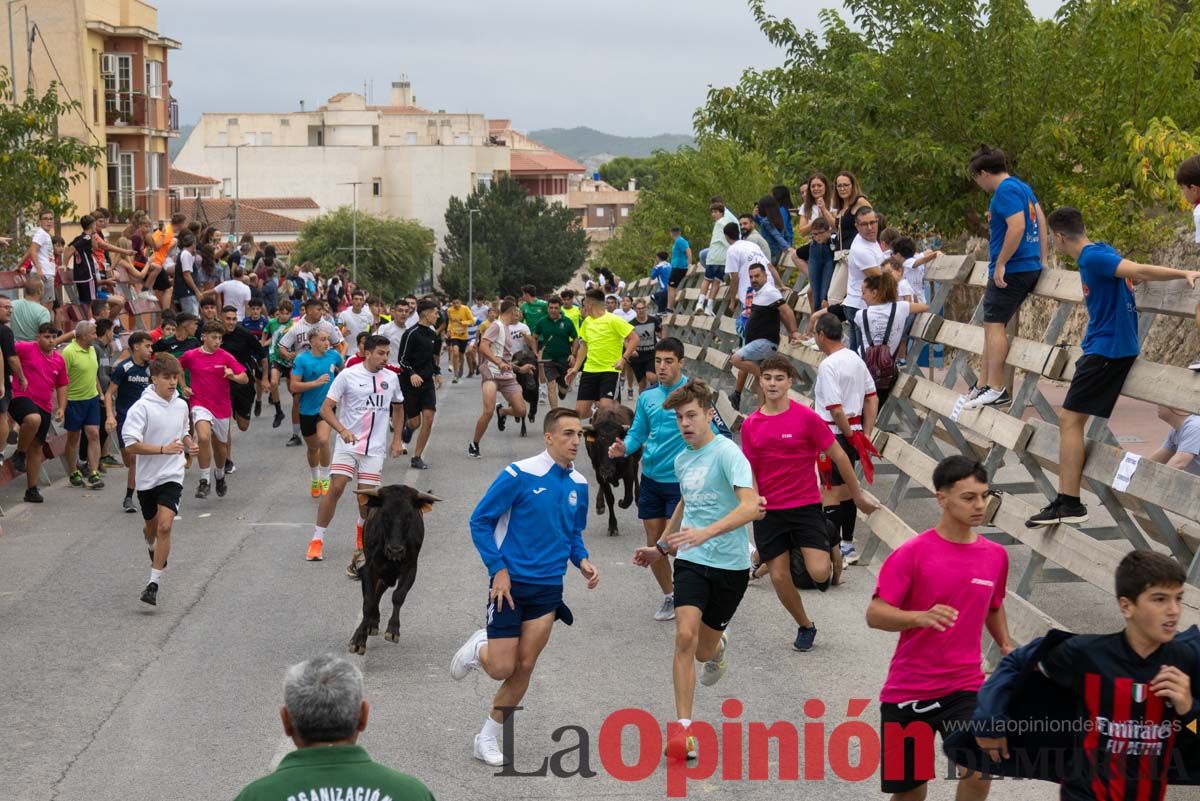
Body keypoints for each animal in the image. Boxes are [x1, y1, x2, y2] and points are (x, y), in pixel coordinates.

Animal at [348, 484, 441, 652]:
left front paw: (393, 630)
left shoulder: (411, 569)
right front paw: (358, 640)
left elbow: (398, 596)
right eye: (384, 514)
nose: (395, 550)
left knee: (380, 591)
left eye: (409, 515)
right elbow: (369, 602)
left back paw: (374, 623)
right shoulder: (369, 569)